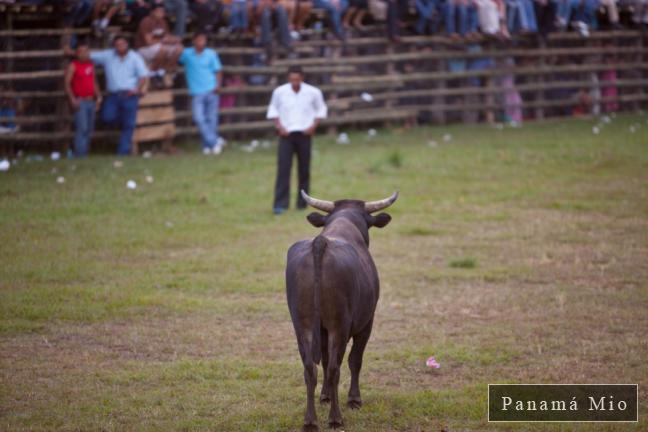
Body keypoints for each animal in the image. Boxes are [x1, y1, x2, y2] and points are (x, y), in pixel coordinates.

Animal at [286, 191, 398, 430]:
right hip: (340, 325)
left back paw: (310, 421)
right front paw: (354, 399)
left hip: (302, 325)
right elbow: (355, 359)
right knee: (335, 367)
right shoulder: (367, 322)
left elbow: (324, 359)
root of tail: (320, 243)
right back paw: (335, 418)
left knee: (311, 367)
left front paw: (325, 396)